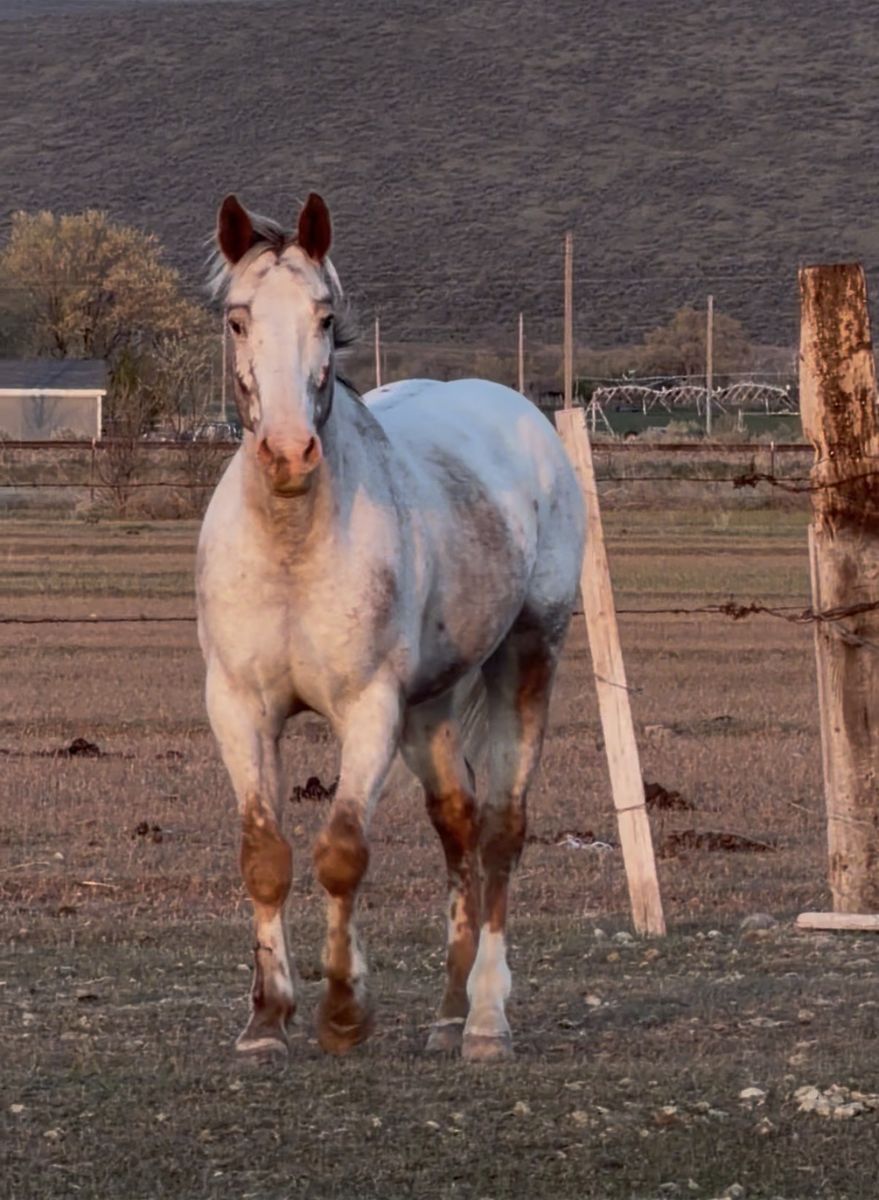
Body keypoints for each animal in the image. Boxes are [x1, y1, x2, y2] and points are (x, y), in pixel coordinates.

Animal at [196, 191, 585, 1062]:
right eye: (238, 319)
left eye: (324, 314)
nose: (288, 453)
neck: (292, 543)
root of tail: (521, 414)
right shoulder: (240, 707)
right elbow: (263, 855)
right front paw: (266, 1020)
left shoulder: (367, 708)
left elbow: (341, 853)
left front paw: (344, 1011)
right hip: (428, 707)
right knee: (458, 828)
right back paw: (445, 1012)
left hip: (527, 656)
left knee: (500, 831)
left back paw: (484, 1020)